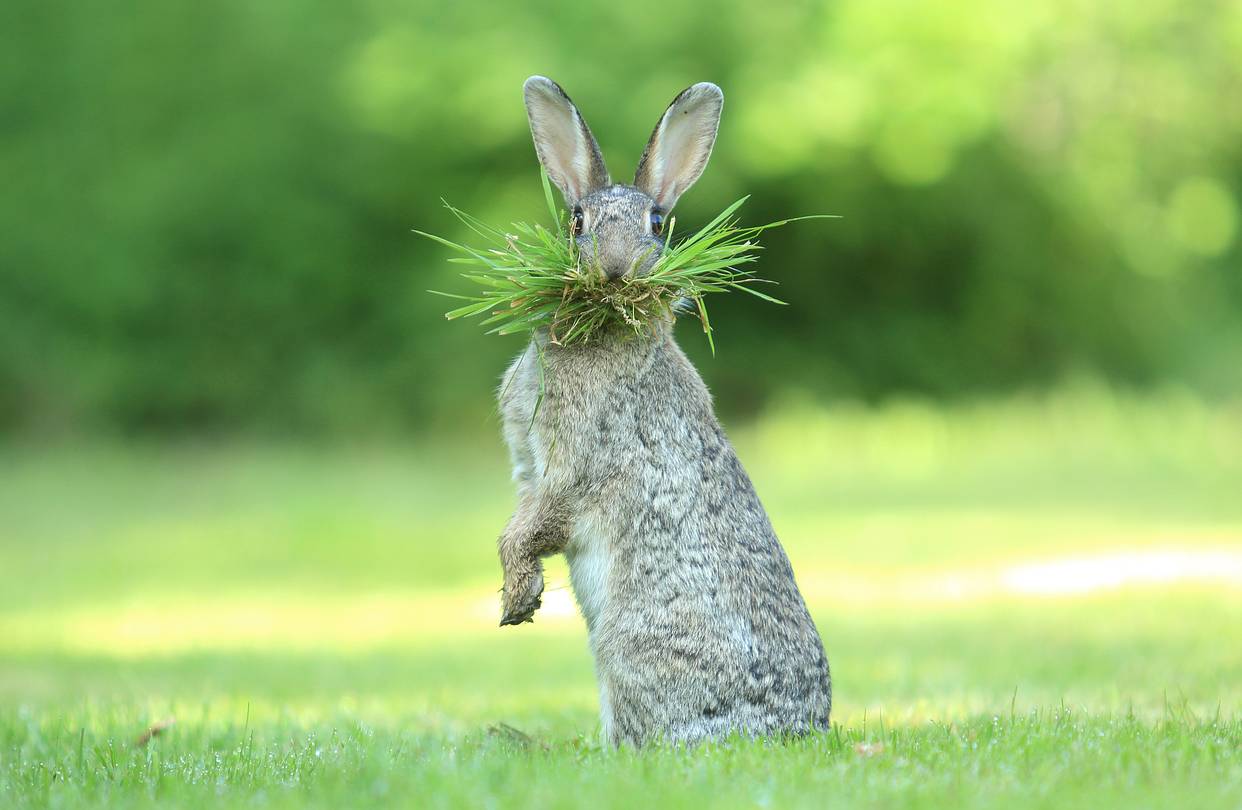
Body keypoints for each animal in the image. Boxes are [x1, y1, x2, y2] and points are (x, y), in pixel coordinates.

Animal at [489, 75, 829, 745]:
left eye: (656, 222)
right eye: (577, 219)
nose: (616, 268)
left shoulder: (572, 464)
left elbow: (536, 524)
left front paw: (516, 600)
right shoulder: (529, 468)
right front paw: (524, 597)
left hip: (627, 645)